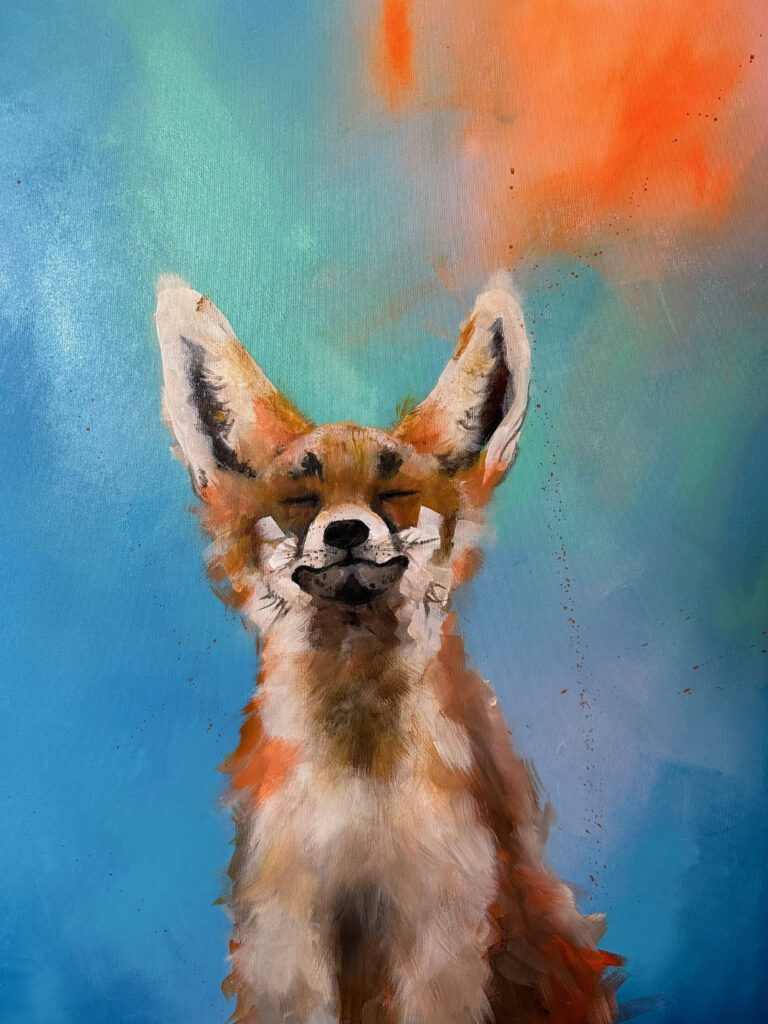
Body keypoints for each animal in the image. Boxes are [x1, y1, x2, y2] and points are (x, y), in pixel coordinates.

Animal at [154, 274, 619, 1024]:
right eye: (301, 499)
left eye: (395, 492)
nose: (345, 531)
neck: (360, 792)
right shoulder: (285, 932)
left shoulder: (444, 929)